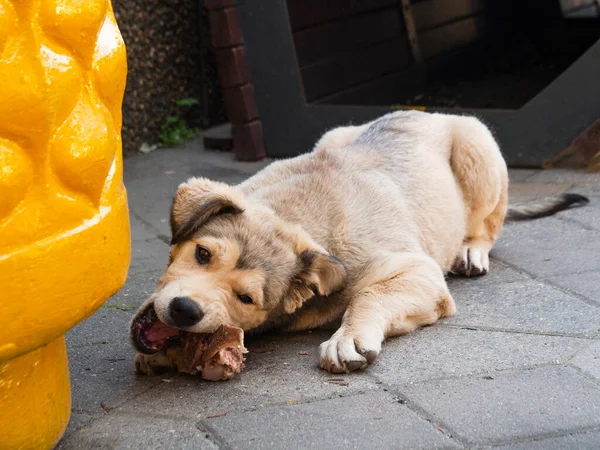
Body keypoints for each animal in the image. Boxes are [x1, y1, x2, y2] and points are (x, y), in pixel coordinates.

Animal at [130, 110, 584, 374]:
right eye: (202, 253)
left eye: (246, 299)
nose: (185, 310)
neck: (294, 214)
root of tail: (423, 109)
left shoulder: (417, 270)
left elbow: (371, 294)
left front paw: (348, 338)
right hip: (332, 135)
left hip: (478, 147)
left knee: (487, 224)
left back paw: (470, 248)